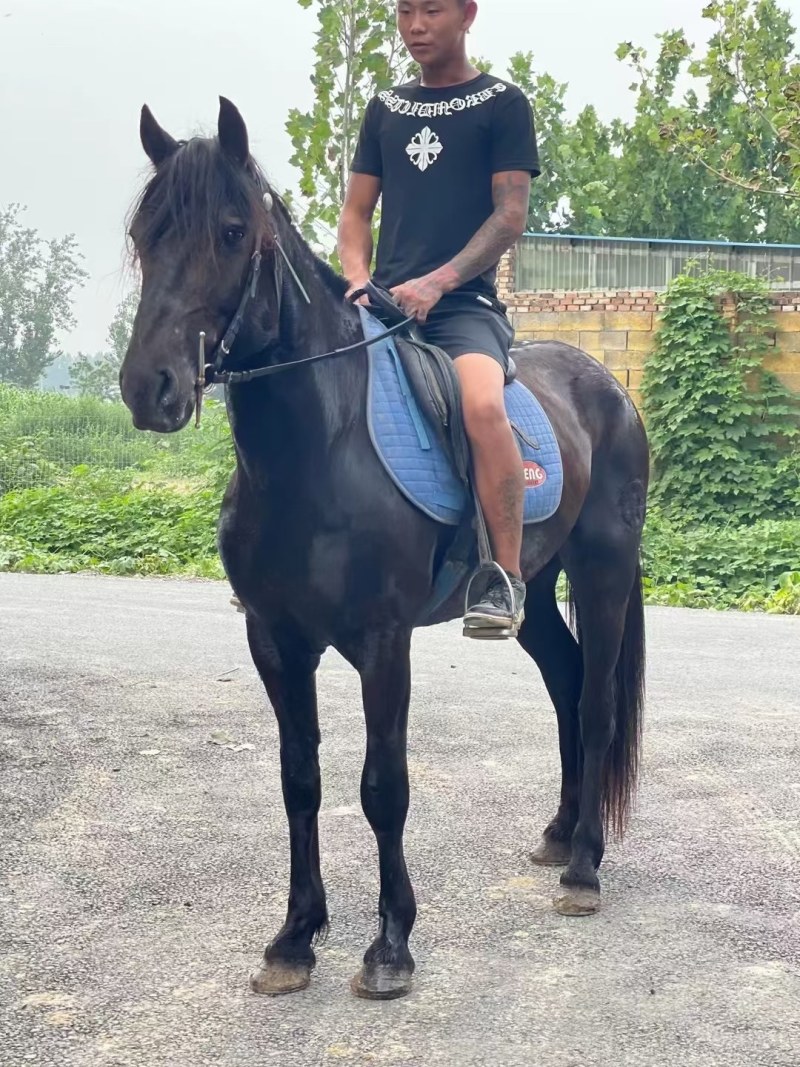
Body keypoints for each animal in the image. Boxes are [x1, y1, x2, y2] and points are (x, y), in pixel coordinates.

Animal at [120, 97, 649, 1001]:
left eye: (231, 231)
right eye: (143, 234)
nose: (147, 387)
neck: (317, 450)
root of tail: (607, 385)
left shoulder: (382, 640)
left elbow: (382, 785)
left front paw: (391, 943)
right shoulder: (274, 639)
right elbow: (300, 780)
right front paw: (295, 937)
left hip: (604, 571)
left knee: (596, 700)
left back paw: (584, 866)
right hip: (532, 586)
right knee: (566, 681)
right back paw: (558, 832)